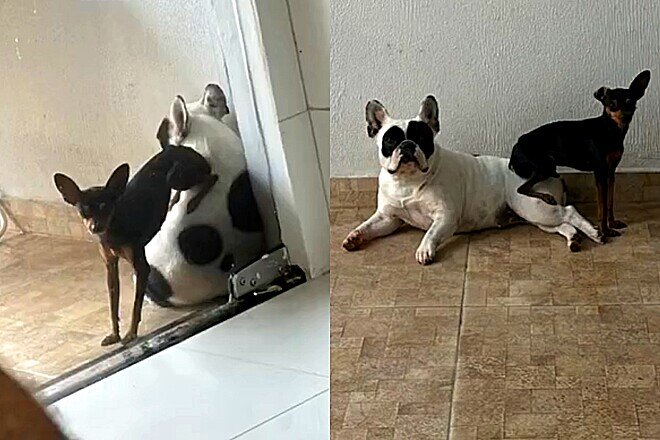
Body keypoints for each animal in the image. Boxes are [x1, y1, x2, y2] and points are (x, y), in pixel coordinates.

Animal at [342, 95, 604, 264]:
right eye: (390, 140)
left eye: (422, 138)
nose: (407, 145)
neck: (409, 182)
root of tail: (549, 172)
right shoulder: (389, 218)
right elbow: (369, 225)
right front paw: (354, 236)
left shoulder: (445, 217)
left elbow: (431, 233)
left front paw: (425, 249)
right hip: (536, 215)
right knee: (562, 223)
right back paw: (574, 238)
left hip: (533, 207)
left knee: (569, 211)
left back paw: (594, 233)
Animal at [508, 70, 652, 237]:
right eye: (612, 104)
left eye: (630, 102)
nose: (626, 116)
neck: (610, 129)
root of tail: (516, 146)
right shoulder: (600, 172)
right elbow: (602, 206)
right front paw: (605, 231)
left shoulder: (610, 172)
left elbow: (609, 202)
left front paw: (612, 223)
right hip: (545, 164)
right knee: (522, 188)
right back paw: (547, 197)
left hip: (549, 167)